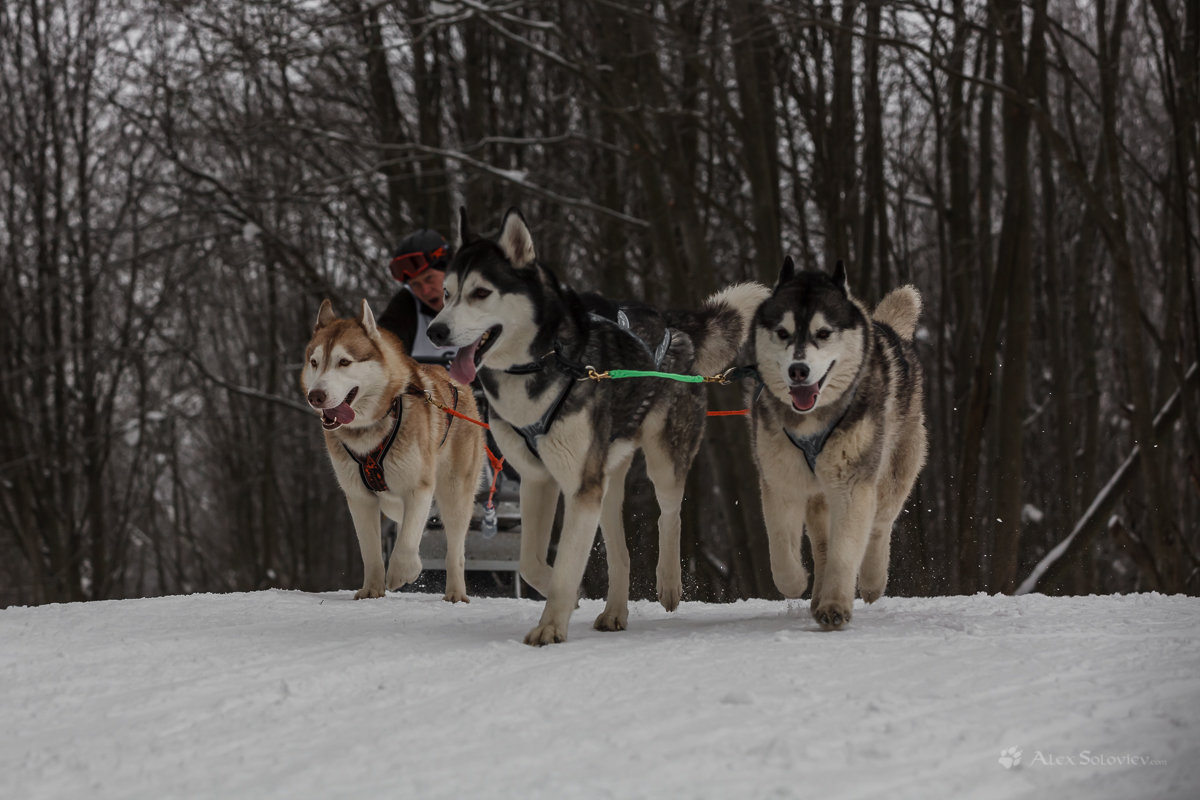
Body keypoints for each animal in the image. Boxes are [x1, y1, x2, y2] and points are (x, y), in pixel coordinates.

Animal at [302, 298, 484, 599]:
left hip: (454, 492)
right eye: (315, 362)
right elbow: (371, 551)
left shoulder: (419, 488)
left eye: (344, 361)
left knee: (454, 550)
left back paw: (456, 593)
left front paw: (403, 571)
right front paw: (372, 589)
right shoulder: (359, 497)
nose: (315, 396)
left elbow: (408, 542)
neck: (369, 431)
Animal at [429, 206, 768, 642]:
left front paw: (550, 627)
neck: (544, 361)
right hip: (606, 484)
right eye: (446, 293)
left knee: (669, 514)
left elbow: (564, 567)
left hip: (663, 460)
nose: (436, 330)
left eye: (481, 293)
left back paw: (669, 582)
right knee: (621, 554)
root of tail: (670, 323)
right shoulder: (539, 481)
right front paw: (570, 600)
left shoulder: (580, 487)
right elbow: (532, 564)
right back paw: (614, 611)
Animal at [748, 260, 926, 628]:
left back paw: (871, 580)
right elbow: (781, 550)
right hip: (818, 496)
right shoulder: (779, 479)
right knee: (822, 545)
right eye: (783, 333)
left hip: (897, 467)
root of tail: (888, 329)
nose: (798, 370)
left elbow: (846, 550)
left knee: (880, 524)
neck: (812, 419)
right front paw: (797, 581)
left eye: (824, 333)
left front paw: (835, 605)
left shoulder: (853, 482)